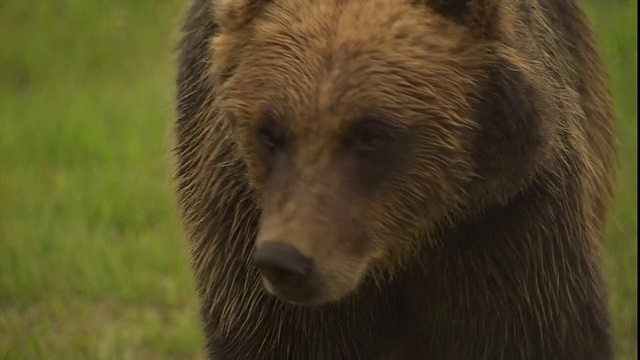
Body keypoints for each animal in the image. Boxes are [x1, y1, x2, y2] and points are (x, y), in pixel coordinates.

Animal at [172, 0, 616, 358]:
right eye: (268, 132)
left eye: (371, 134)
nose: (285, 260)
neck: (396, 250)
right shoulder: (244, 250)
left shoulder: (507, 228)